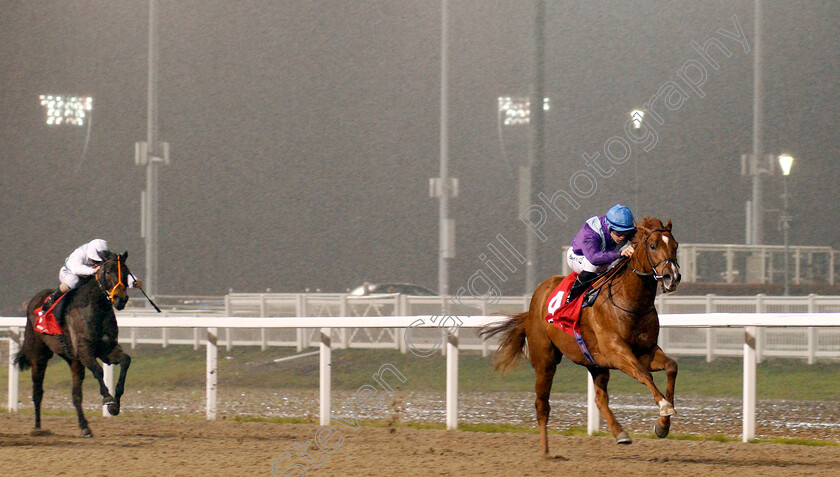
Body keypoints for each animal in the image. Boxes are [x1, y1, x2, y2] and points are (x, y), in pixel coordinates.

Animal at [13, 251, 133, 436]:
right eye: (107, 272)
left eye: (126, 272)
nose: (121, 299)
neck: (95, 308)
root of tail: (34, 301)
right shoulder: (84, 352)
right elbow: (98, 370)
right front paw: (108, 398)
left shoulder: (107, 350)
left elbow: (125, 360)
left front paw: (116, 403)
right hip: (39, 356)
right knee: (37, 392)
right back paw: (38, 428)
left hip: (73, 361)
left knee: (76, 395)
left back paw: (85, 427)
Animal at [480, 217, 684, 454]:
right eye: (652, 245)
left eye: (675, 245)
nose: (672, 277)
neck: (630, 302)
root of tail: (534, 301)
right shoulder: (617, 352)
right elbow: (644, 375)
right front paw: (664, 407)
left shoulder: (646, 351)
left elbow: (671, 366)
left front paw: (663, 426)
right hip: (545, 361)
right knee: (542, 404)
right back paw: (546, 452)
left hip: (595, 363)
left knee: (600, 399)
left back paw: (620, 434)